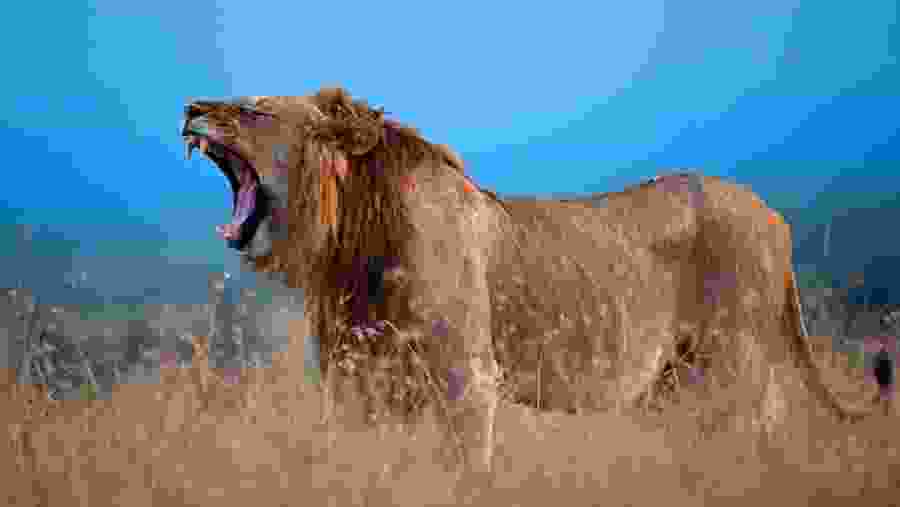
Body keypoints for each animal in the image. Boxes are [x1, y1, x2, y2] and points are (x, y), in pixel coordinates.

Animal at [179, 87, 880, 479]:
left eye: (252, 109)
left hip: (728, 369)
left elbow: (467, 472)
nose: (190, 109)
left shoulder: (467, 382)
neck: (348, 245)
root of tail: (775, 217)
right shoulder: (355, 385)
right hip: (681, 384)